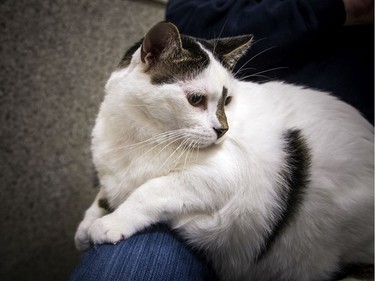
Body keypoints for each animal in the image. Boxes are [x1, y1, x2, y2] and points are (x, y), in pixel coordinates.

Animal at [75, 22, 374, 280]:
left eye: (227, 99)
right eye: (196, 99)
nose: (223, 130)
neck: (139, 137)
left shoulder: (221, 174)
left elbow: (151, 190)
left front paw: (110, 223)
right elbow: (104, 193)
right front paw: (86, 225)